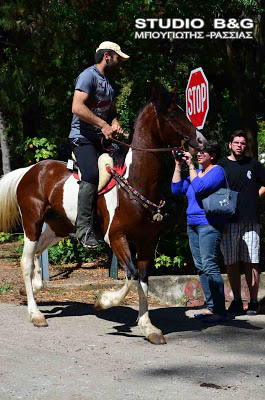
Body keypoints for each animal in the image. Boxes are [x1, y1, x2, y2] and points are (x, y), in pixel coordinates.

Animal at [0, 86, 206, 344]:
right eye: (171, 114)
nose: (202, 141)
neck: (134, 181)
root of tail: (30, 170)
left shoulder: (147, 241)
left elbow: (143, 281)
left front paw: (148, 327)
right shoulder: (116, 237)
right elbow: (131, 276)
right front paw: (103, 301)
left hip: (59, 227)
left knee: (37, 253)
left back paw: (37, 286)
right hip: (32, 223)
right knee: (26, 261)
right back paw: (35, 313)